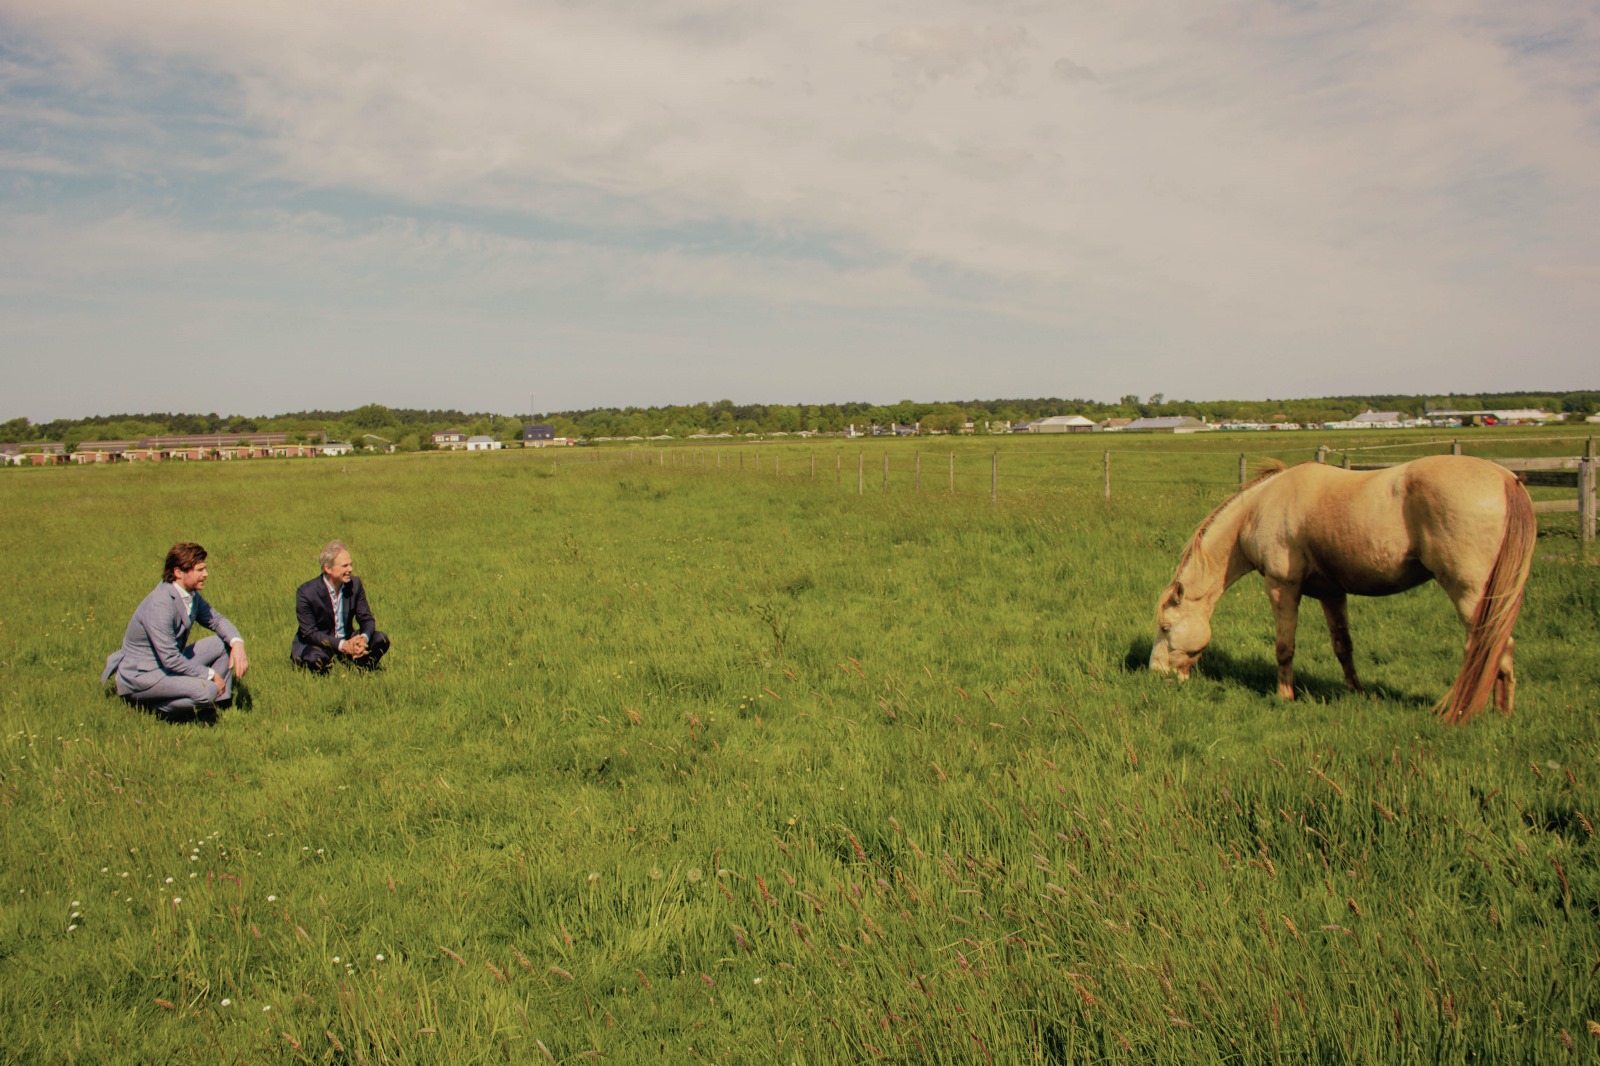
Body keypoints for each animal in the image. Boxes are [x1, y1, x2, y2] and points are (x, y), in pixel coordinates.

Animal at [1148, 454, 1535, 724]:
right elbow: (1343, 646)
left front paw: (1284, 696)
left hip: (1469, 593)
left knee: (1486, 646)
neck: (1260, 508)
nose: (1156, 674)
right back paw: (1502, 713)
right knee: (1501, 647)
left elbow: (1284, 647)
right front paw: (1356, 691)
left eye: (1165, 627)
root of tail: (1507, 479)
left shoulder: (1282, 587)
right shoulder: (1331, 593)